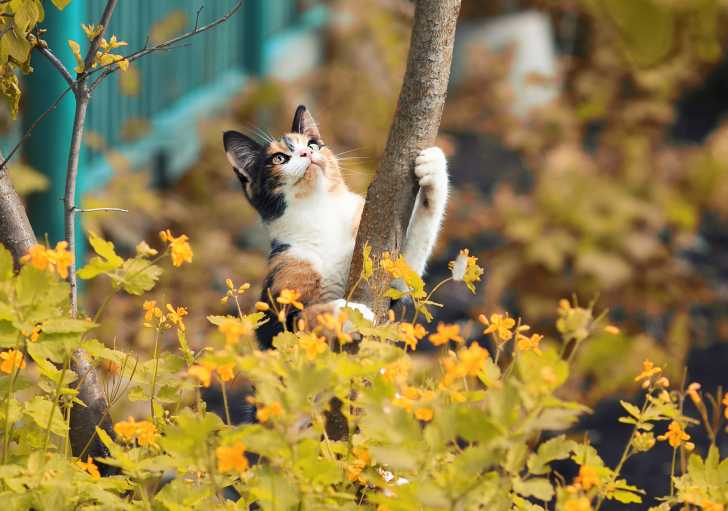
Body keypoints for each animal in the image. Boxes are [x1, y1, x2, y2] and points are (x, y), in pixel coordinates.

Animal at [223, 106, 450, 350]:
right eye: (279, 158)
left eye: (313, 144)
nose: (307, 153)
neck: (320, 213)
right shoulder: (276, 305)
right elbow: (300, 320)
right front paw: (351, 313)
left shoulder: (391, 277)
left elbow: (409, 267)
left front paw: (433, 168)